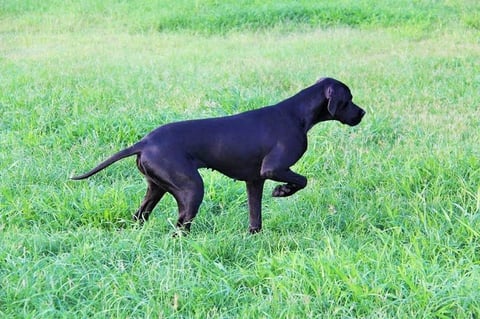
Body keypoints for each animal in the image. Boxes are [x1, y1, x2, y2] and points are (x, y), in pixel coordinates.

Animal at [71, 77, 364, 232]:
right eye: (349, 99)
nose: (362, 113)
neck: (296, 115)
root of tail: (144, 142)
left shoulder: (254, 180)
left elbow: (255, 215)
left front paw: (254, 236)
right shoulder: (273, 169)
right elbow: (302, 180)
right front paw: (282, 191)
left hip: (157, 188)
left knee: (141, 216)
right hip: (191, 189)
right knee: (180, 226)